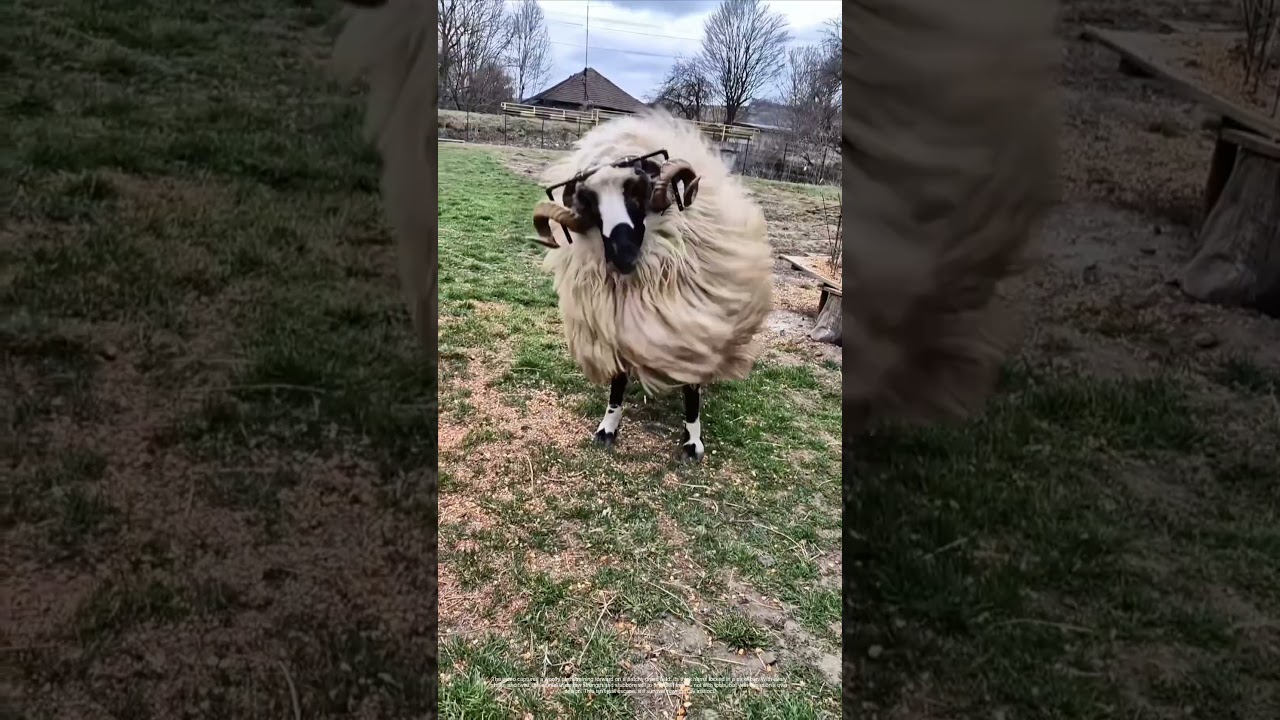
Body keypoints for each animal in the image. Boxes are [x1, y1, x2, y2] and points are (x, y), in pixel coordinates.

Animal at [531, 111, 774, 462]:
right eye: (589, 203)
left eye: (636, 193)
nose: (622, 256)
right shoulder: (615, 323)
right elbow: (618, 381)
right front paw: (608, 427)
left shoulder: (693, 322)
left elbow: (691, 389)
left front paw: (693, 441)